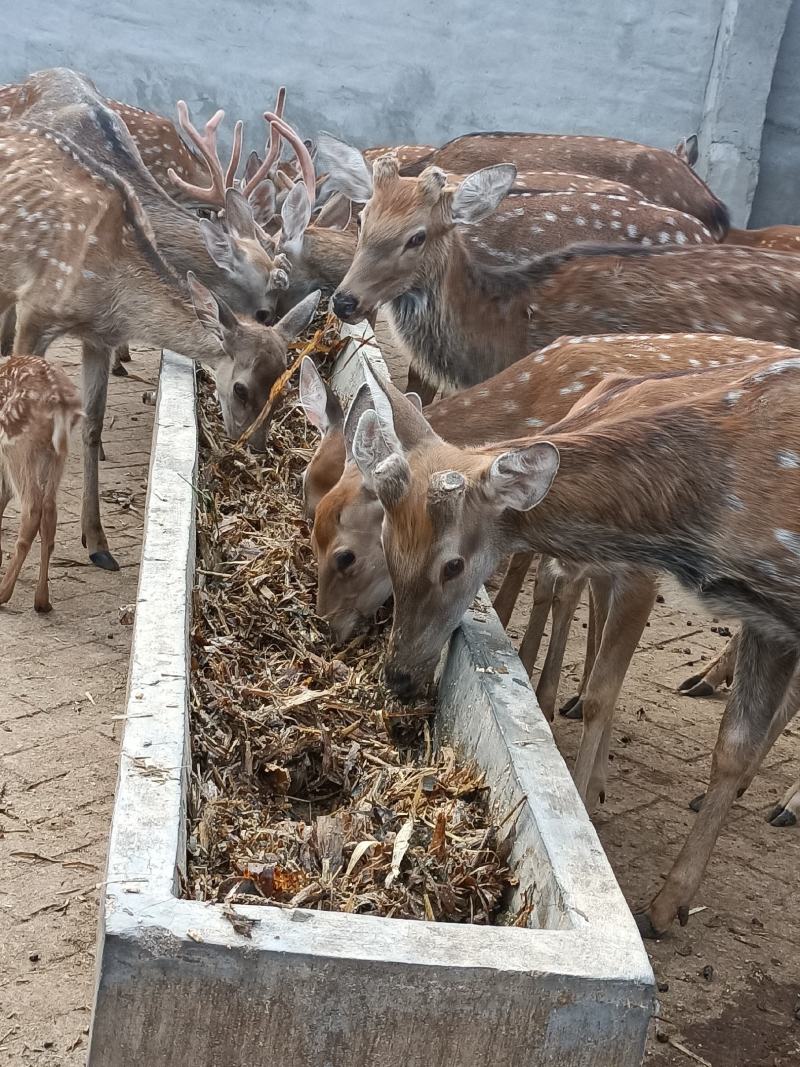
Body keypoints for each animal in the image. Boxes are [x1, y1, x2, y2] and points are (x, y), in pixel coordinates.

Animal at [0, 118, 320, 571]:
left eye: (285, 388)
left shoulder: (99, 337)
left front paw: (97, 543)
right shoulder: (34, 310)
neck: (109, 284)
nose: (254, 447)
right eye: (241, 388)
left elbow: (92, 426)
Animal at [0, 356, 83, 613]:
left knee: (32, 508)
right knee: (49, 509)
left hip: (18, 446)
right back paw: (42, 600)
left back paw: (3, 593)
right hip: (56, 453)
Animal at [349, 354, 800, 938]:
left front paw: (660, 900)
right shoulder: (763, 617)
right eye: (385, 541)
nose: (398, 676)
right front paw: (666, 900)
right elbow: (732, 746)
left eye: (452, 564)